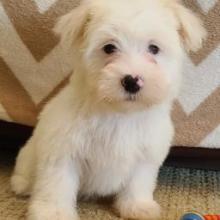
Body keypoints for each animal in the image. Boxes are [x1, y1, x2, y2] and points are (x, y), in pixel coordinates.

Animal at [10, 0, 206, 219]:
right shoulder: (63, 152)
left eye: (154, 48)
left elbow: (138, 182)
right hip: (29, 155)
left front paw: (137, 206)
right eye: (109, 48)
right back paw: (22, 184)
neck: (119, 113)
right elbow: (57, 184)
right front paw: (54, 213)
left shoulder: (146, 154)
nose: (132, 81)